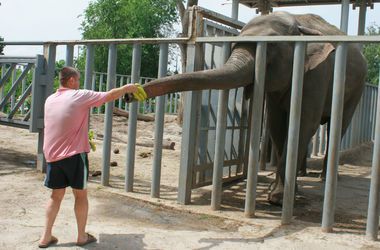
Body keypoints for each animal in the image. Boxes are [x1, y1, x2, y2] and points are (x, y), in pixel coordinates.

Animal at [126, 11, 366, 205]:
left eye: (270, 49)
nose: (129, 95)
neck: (299, 24)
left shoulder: (318, 73)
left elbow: (304, 123)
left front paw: (278, 199)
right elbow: (278, 125)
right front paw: (280, 193)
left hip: (357, 88)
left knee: (338, 126)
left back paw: (326, 179)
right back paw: (304, 173)